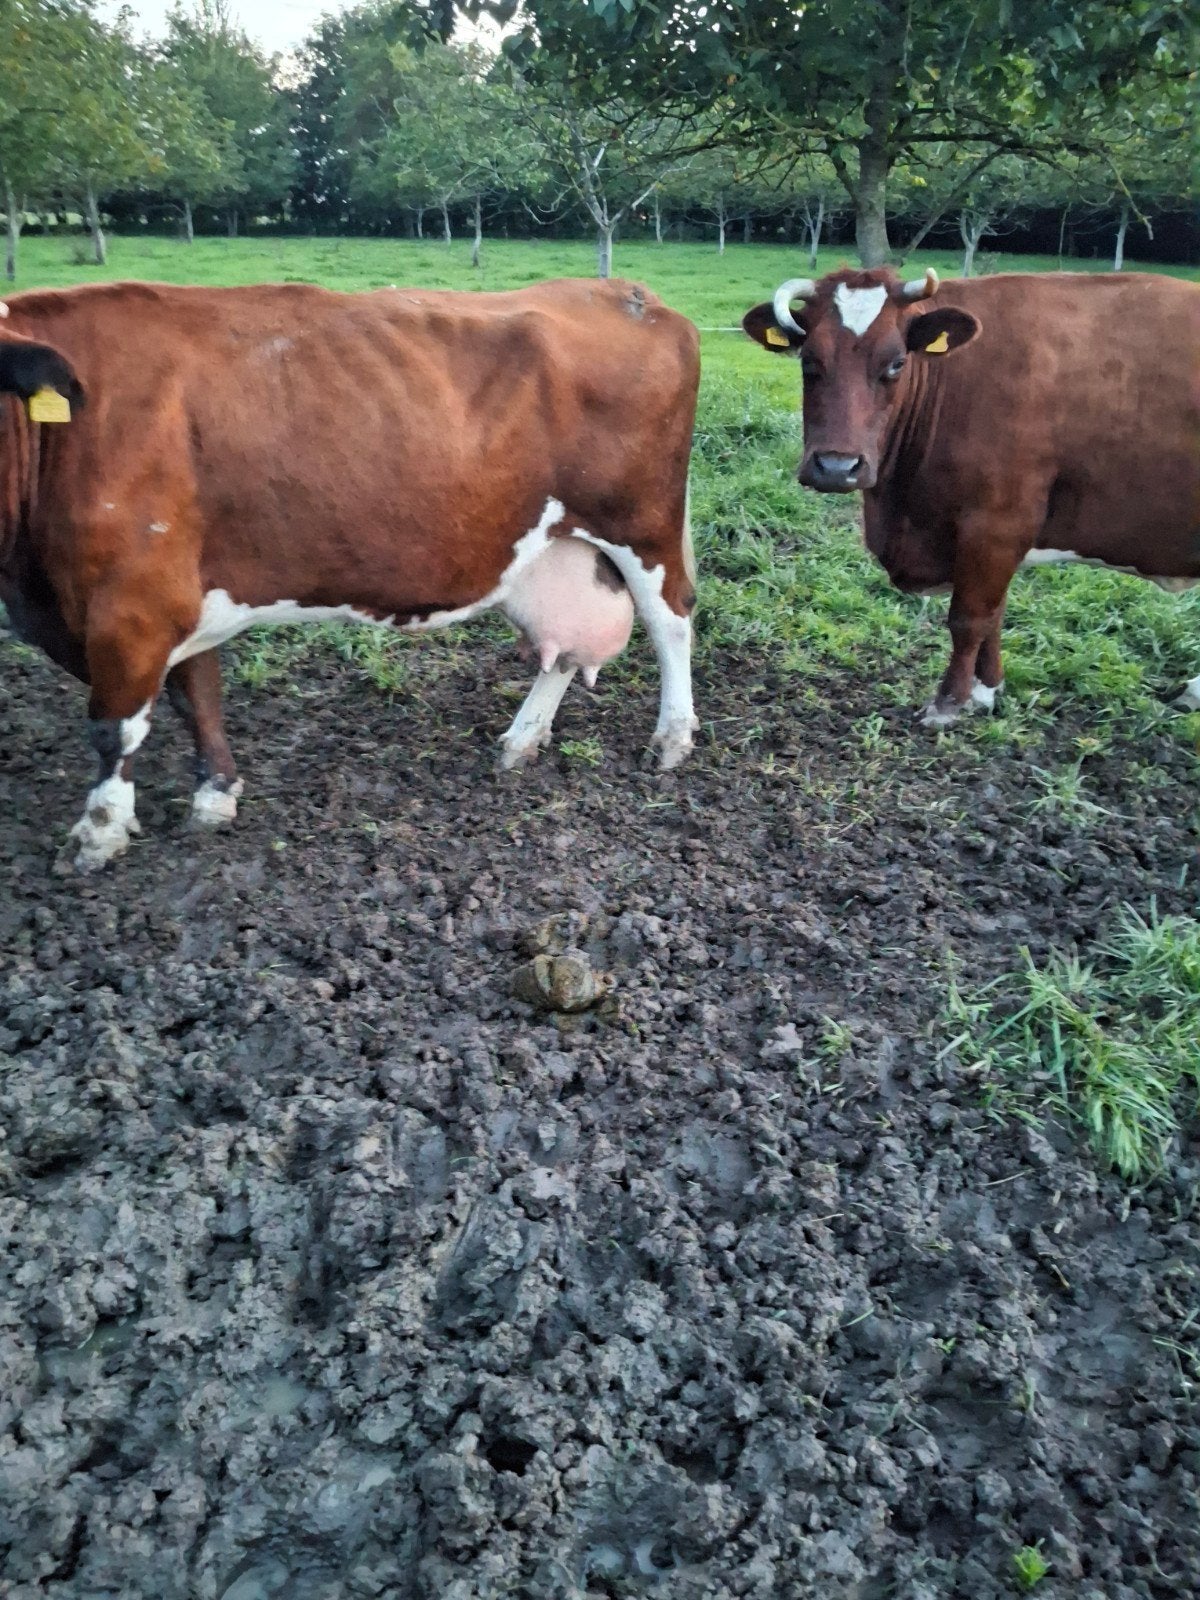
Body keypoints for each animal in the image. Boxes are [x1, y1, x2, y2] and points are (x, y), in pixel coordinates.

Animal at [0, 277, 700, 870]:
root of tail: (630, 293)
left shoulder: (133, 605)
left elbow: (114, 727)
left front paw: (97, 832)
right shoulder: (177, 591)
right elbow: (197, 695)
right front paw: (215, 795)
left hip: (643, 526)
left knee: (671, 621)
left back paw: (671, 738)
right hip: (554, 549)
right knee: (562, 651)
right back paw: (521, 740)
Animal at [742, 267, 1200, 726]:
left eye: (896, 363)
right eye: (809, 361)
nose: (837, 467)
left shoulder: (997, 524)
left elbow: (970, 618)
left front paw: (950, 701)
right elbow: (995, 613)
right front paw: (986, 689)